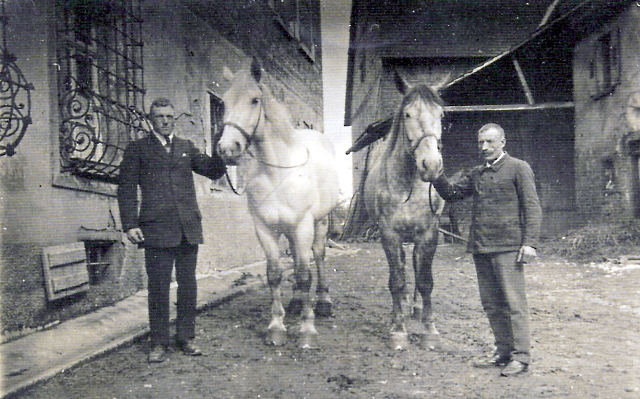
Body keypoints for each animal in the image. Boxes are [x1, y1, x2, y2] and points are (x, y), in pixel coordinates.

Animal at [219, 57, 342, 348]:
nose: (227, 149)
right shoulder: (265, 228)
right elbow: (275, 274)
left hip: (319, 223)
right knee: (297, 260)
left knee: (317, 257)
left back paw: (323, 302)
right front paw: (276, 326)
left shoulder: (303, 226)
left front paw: (307, 329)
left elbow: (305, 274)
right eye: (224, 102)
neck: (278, 172)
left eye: (254, 100)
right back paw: (296, 302)